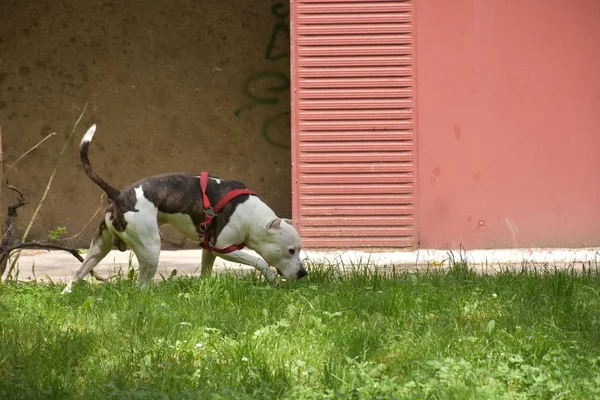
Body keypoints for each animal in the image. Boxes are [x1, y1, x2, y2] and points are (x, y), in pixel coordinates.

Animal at [62, 125, 304, 294]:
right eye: (291, 250)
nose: (303, 273)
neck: (251, 217)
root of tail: (119, 194)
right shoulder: (223, 248)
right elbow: (259, 260)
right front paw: (272, 279)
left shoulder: (209, 248)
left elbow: (206, 270)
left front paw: (205, 289)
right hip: (150, 248)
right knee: (141, 286)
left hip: (98, 248)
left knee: (78, 272)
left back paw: (67, 294)